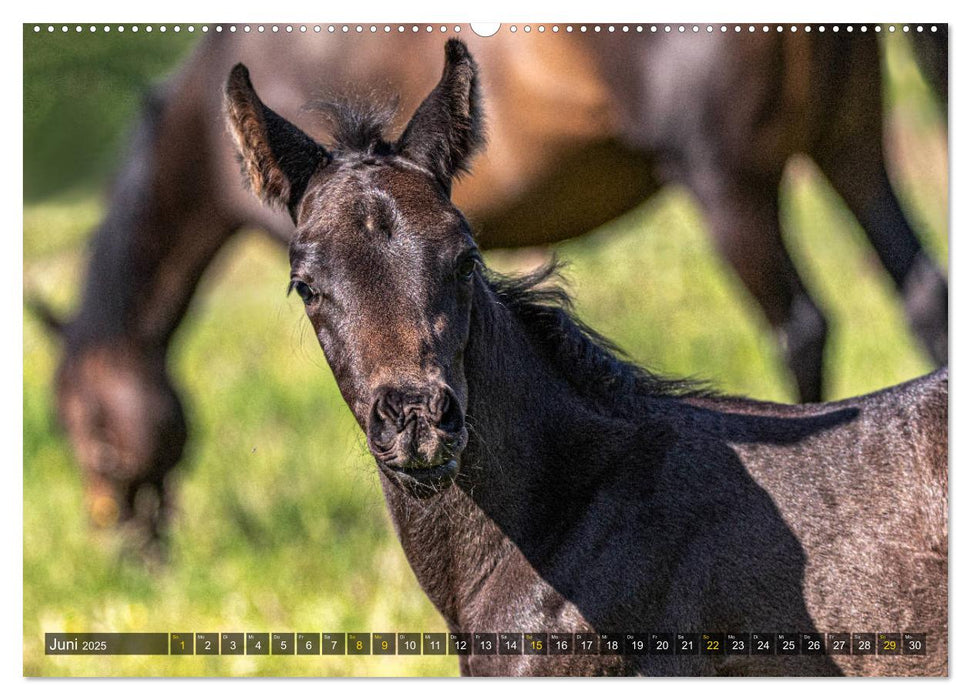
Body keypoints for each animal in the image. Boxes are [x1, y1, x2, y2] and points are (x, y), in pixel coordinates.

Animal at [32, 26, 948, 540]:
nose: (128, 545)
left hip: (727, 178)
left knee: (800, 324)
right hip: (851, 143)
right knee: (922, 292)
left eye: (86, 430)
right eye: (308, 287)